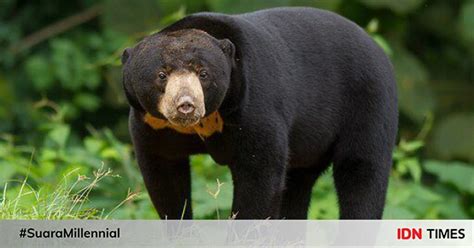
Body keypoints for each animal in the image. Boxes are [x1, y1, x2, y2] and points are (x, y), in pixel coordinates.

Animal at [121, 6, 396, 219]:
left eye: (203, 73)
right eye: (162, 74)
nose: (186, 105)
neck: (208, 119)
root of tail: (377, 46)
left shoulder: (254, 105)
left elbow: (259, 175)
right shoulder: (152, 124)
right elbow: (164, 175)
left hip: (368, 102)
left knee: (361, 172)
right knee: (297, 184)